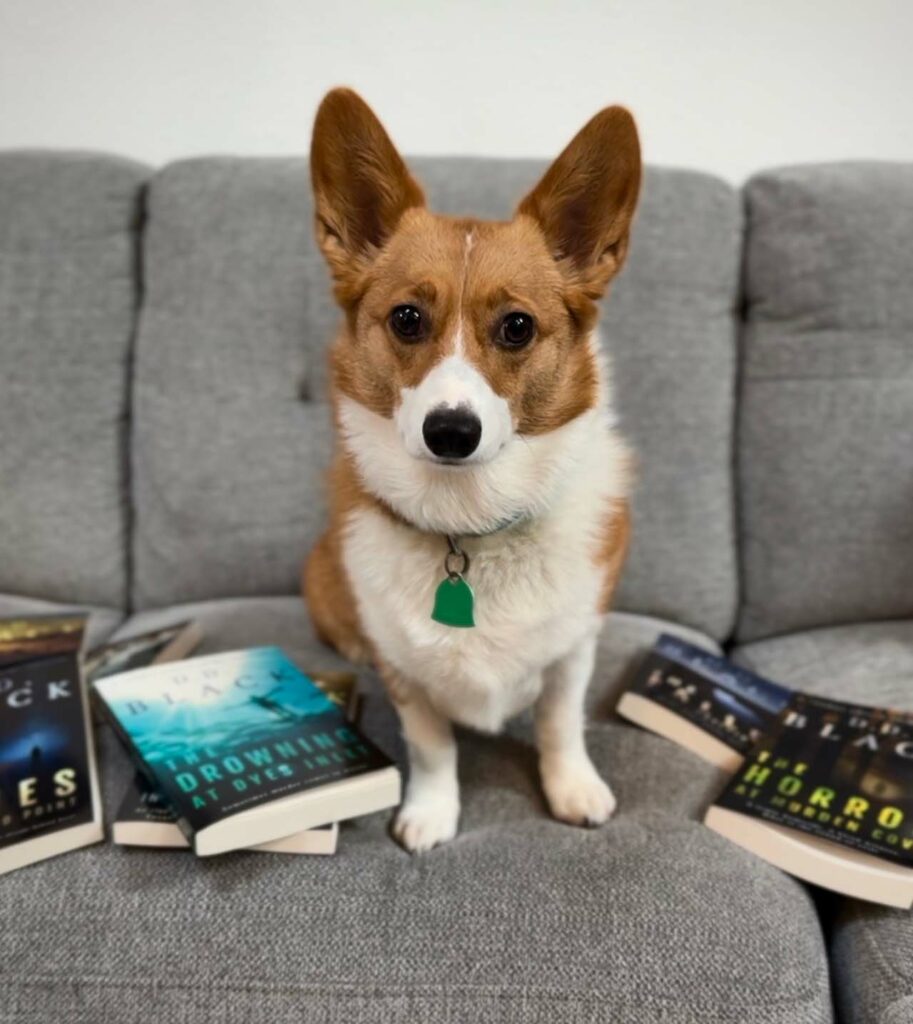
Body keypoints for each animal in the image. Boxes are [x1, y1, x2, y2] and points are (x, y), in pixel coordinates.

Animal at [302, 90, 638, 856]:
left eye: (517, 327)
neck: (468, 520)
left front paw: (573, 791)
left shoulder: (574, 650)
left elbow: (560, 724)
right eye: (406, 318)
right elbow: (432, 747)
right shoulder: (404, 674)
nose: (451, 431)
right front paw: (430, 815)